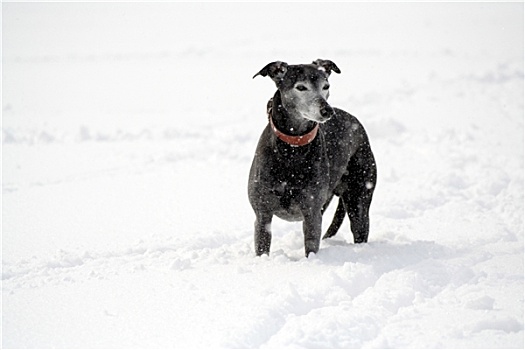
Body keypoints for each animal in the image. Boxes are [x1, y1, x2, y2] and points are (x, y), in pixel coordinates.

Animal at [248, 60, 374, 258]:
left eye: (326, 86)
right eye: (301, 87)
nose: (327, 111)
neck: (292, 148)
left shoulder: (312, 213)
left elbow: (312, 245)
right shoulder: (262, 214)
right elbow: (262, 245)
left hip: (359, 198)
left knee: (360, 225)